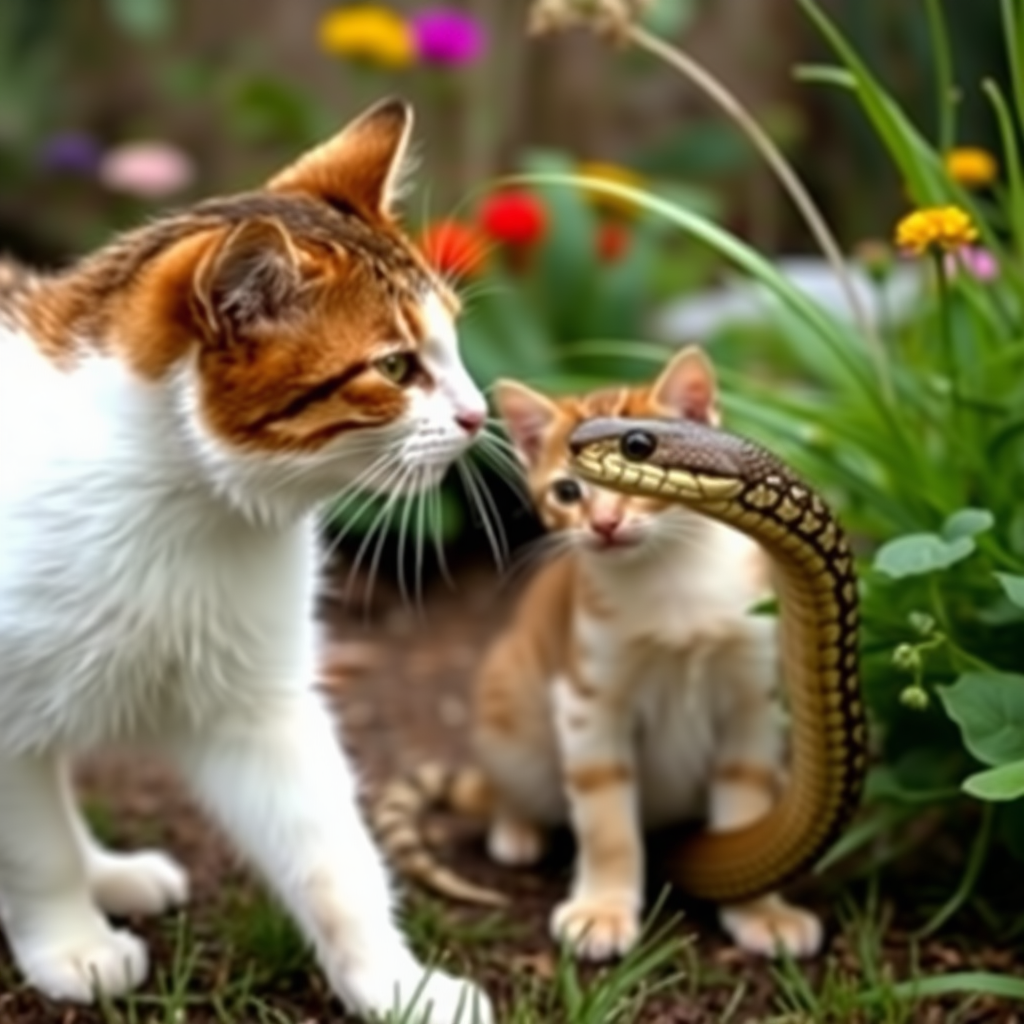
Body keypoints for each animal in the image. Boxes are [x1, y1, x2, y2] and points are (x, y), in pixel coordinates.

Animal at [0, 97, 491, 1024]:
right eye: (395, 366)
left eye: (452, 341)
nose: (481, 415)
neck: (178, 507)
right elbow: (34, 844)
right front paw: (71, 944)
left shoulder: (258, 704)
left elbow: (333, 857)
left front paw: (396, 982)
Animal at [376, 348, 823, 962]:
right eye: (567, 492)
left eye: (640, 450)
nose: (605, 525)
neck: (672, 583)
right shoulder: (589, 699)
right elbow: (606, 818)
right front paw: (603, 911)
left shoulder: (752, 696)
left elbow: (745, 804)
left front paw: (762, 912)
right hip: (507, 707)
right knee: (506, 787)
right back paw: (517, 827)